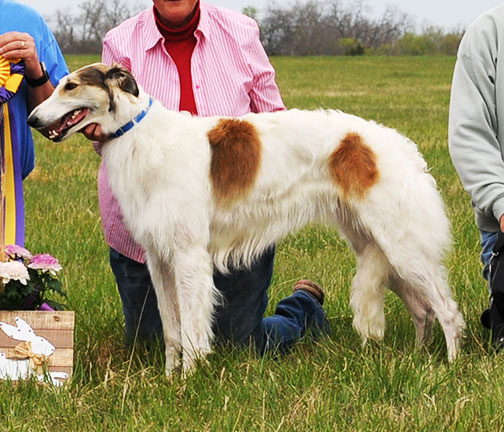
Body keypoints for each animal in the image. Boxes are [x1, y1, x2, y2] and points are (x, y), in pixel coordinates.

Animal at [29, 63, 466, 374]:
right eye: (59, 84)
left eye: (71, 86)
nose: (32, 119)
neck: (140, 135)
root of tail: (398, 144)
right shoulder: (159, 258)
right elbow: (171, 331)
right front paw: (169, 379)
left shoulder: (188, 256)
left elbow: (192, 330)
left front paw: (188, 383)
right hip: (377, 243)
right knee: (423, 310)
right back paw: (416, 358)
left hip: (401, 243)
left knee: (445, 309)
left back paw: (450, 365)